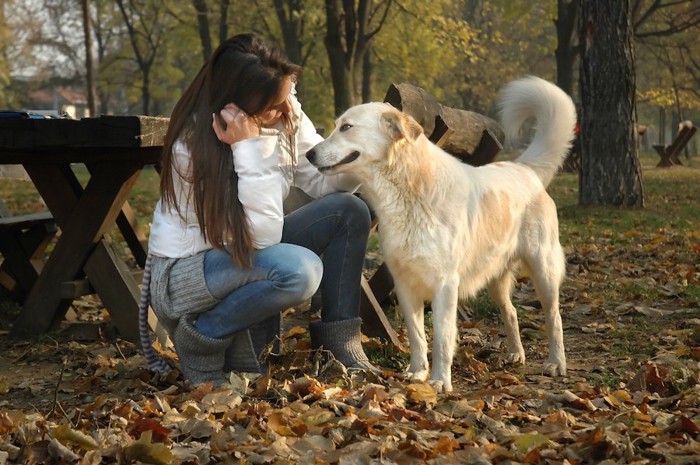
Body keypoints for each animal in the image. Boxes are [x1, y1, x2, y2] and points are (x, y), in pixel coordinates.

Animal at [306, 76, 576, 392]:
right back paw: (515, 354)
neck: (406, 189)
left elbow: (442, 336)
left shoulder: (445, 285)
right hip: (495, 278)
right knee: (511, 312)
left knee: (554, 317)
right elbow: (417, 336)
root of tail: (524, 169)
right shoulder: (404, 284)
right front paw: (417, 372)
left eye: (347, 127)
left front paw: (439, 380)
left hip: (543, 269)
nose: (309, 154)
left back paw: (556, 363)